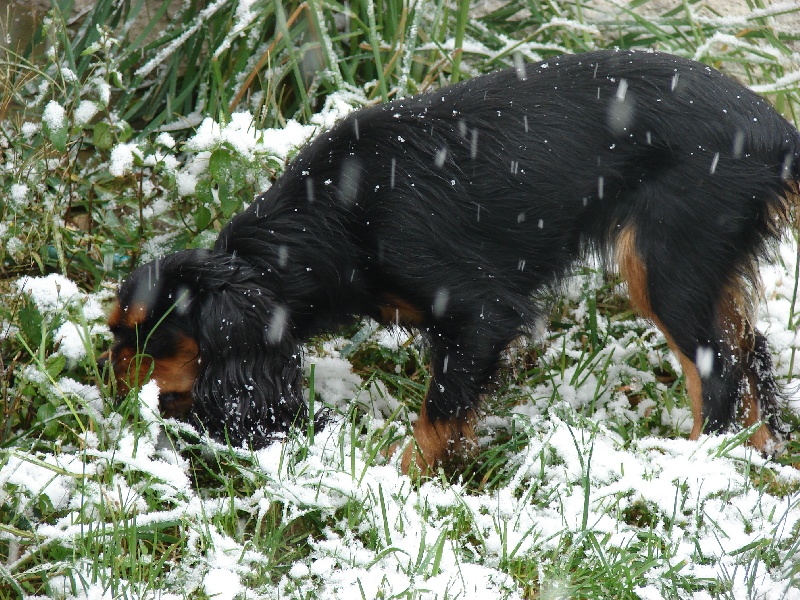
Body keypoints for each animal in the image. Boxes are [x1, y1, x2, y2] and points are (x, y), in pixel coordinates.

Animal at [101, 50, 800, 474]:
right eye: (114, 332)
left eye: (150, 342)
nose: (108, 386)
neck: (332, 215)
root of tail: (775, 128)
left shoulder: (479, 313)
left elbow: (438, 412)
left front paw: (399, 482)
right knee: (750, 349)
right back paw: (758, 458)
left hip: (663, 262)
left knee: (717, 370)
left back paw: (694, 467)